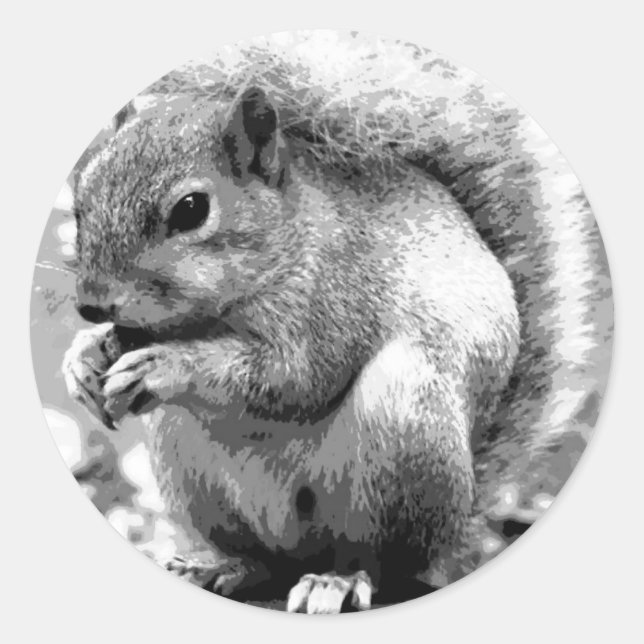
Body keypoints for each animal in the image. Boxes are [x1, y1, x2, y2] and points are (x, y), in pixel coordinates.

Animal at [62, 32, 609, 613]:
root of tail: (459, 516)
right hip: (184, 453)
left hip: (404, 428)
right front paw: (84, 359)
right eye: (81, 201)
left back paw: (339, 581)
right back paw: (224, 567)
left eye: (191, 209)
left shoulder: (336, 301)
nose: (92, 304)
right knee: (264, 562)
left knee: (381, 562)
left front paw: (167, 365)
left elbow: (294, 378)